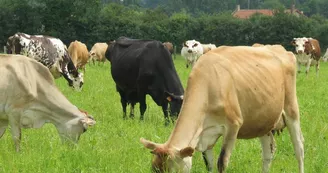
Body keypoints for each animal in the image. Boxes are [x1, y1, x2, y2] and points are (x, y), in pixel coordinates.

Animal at [140, 45, 304, 173]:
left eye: (172, 171)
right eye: (154, 169)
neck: (208, 84)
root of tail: (280, 49)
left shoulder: (233, 125)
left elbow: (222, 162)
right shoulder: (205, 135)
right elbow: (209, 164)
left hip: (291, 109)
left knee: (299, 148)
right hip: (263, 121)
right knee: (268, 152)